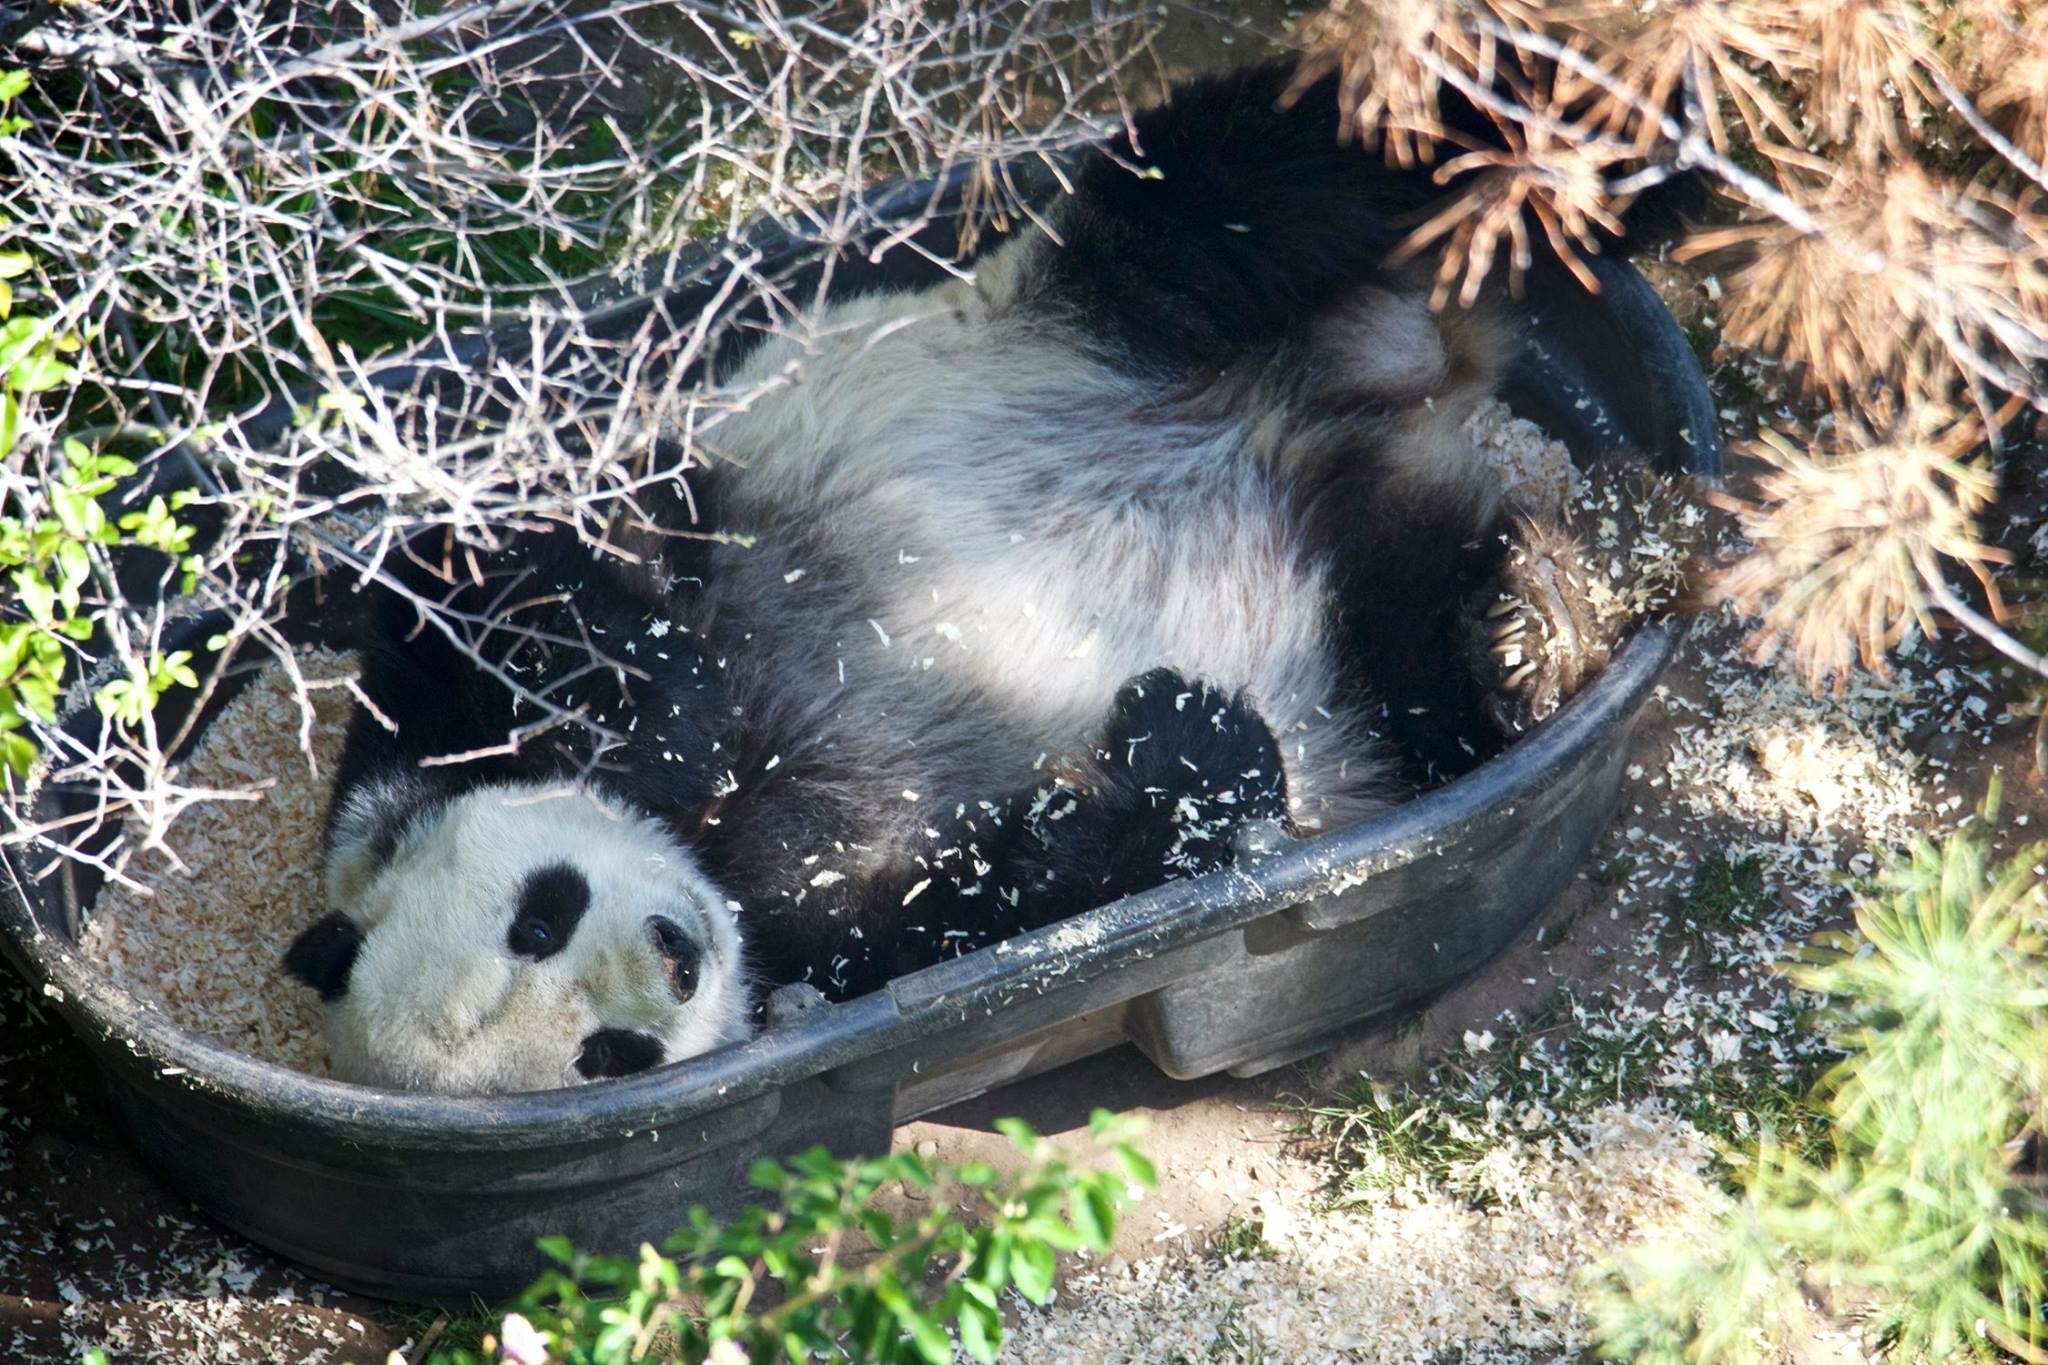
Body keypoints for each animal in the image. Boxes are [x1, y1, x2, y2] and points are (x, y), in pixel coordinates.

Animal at [283, 59, 1696, 1094]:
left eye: (542, 912)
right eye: (605, 1056)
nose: (675, 959)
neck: (714, 850)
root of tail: (1387, 395)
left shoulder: (519, 619)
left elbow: (509, 594)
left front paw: (653, 710)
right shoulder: (834, 944)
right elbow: (1030, 891)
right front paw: (1187, 746)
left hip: (1069, 317)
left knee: (1260, 184)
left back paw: (1633, 121)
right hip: (1360, 607)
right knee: (1419, 659)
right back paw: (1534, 623)